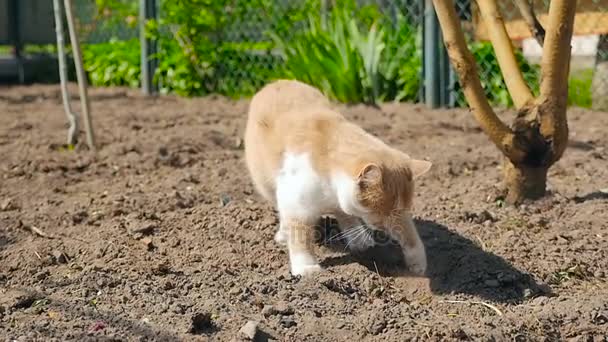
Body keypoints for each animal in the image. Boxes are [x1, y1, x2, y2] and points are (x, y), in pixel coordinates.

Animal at [243, 79, 432, 276]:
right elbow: (299, 232)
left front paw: (417, 262)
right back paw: (283, 233)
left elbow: (408, 233)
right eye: (381, 212)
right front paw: (306, 268)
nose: (383, 227)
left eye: (394, 212)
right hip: (266, 184)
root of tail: (276, 82)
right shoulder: (295, 201)